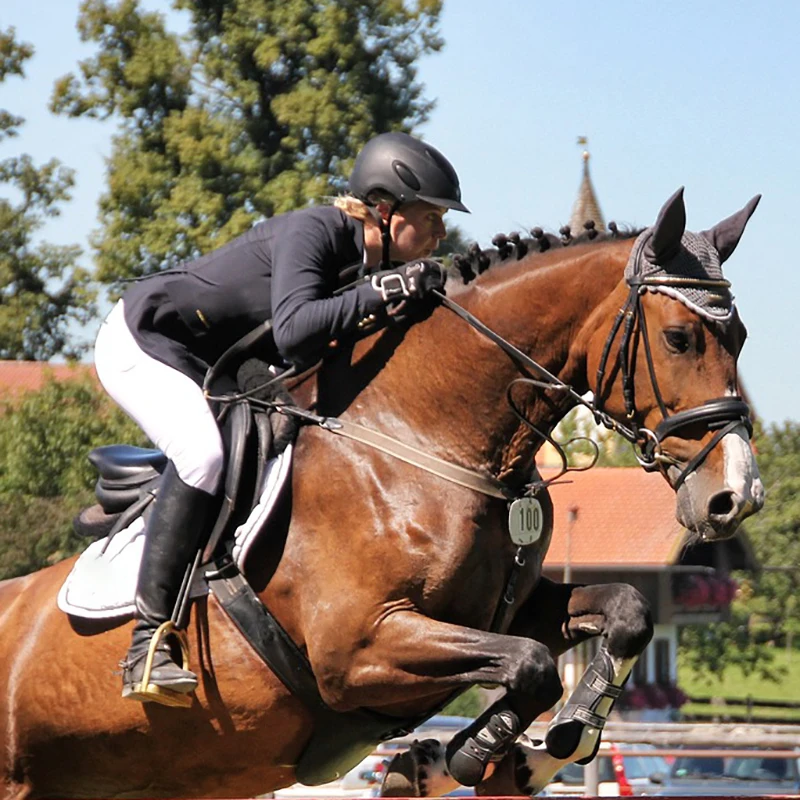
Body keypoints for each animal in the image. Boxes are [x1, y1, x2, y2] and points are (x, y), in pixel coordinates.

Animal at [0, 187, 764, 799]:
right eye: (679, 337)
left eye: (742, 337)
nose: (736, 496)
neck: (422, 441)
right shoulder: (360, 650)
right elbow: (532, 665)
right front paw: (466, 756)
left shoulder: (506, 607)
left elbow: (624, 612)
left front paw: (542, 748)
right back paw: (153, 660)